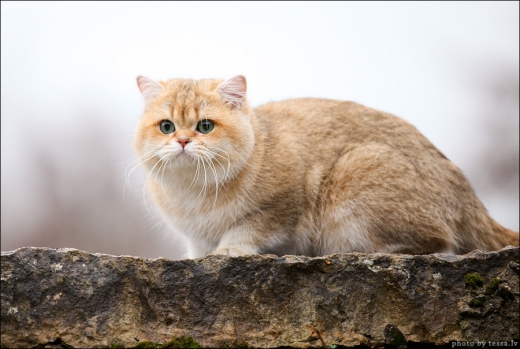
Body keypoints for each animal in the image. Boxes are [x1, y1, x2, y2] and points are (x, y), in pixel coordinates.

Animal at [133, 75, 516, 256]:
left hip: (356, 174)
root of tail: (467, 197)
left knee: (438, 241)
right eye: (166, 126)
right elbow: (198, 251)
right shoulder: (194, 238)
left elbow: (248, 230)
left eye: (205, 126)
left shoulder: (286, 202)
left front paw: (229, 249)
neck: (194, 192)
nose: (183, 141)